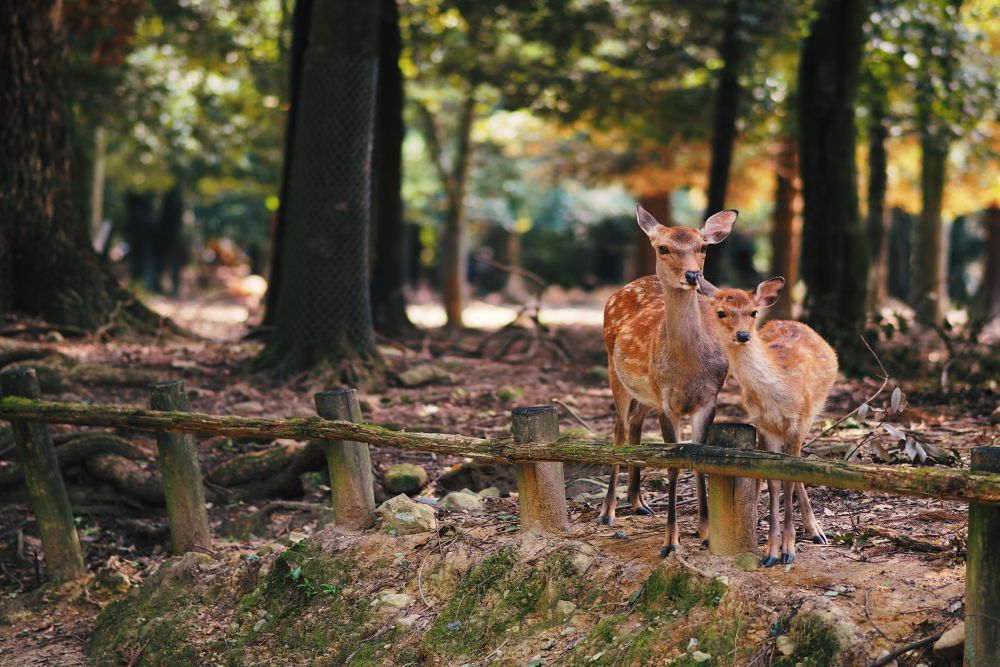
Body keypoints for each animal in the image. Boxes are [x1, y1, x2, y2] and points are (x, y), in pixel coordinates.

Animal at [600, 205, 736, 560]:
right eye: (663, 248)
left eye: (703, 247)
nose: (692, 276)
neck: (688, 371)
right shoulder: (665, 401)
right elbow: (672, 465)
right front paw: (670, 542)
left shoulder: (709, 399)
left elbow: (699, 459)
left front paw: (705, 533)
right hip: (615, 374)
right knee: (618, 431)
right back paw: (607, 512)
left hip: (644, 393)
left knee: (634, 425)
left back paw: (639, 502)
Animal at [700, 274, 840, 568]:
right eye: (721, 312)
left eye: (753, 312)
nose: (743, 335)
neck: (777, 393)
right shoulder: (764, 426)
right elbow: (775, 480)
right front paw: (771, 551)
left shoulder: (798, 419)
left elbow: (789, 477)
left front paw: (788, 550)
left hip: (814, 412)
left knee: (799, 463)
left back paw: (817, 531)